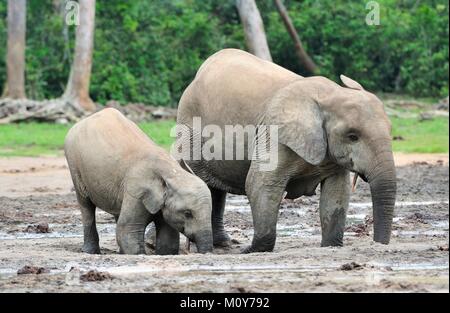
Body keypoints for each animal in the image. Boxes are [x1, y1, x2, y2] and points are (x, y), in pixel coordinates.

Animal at [64, 107, 214, 254]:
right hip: (74, 165)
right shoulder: (137, 191)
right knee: (86, 206)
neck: (172, 172)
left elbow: (168, 235)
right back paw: (91, 252)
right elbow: (128, 229)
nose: (205, 253)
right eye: (187, 214)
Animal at [176, 49, 398, 254]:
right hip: (189, 129)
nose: (378, 245)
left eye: (390, 130)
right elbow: (261, 184)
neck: (330, 94)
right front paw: (252, 250)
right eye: (352, 136)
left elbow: (337, 191)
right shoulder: (273, 134)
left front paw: (331, 246)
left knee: (215, 189)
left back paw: (223, 244)